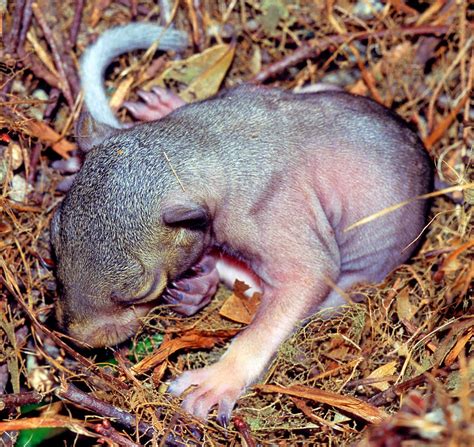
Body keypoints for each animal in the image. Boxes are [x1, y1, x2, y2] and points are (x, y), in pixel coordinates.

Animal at [51, 22, 434, 426]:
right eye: (53, 244)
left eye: (139, 290)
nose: (78, 338)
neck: (205, 145)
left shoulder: (267, 214)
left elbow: (305, 277)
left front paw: (218, 378)